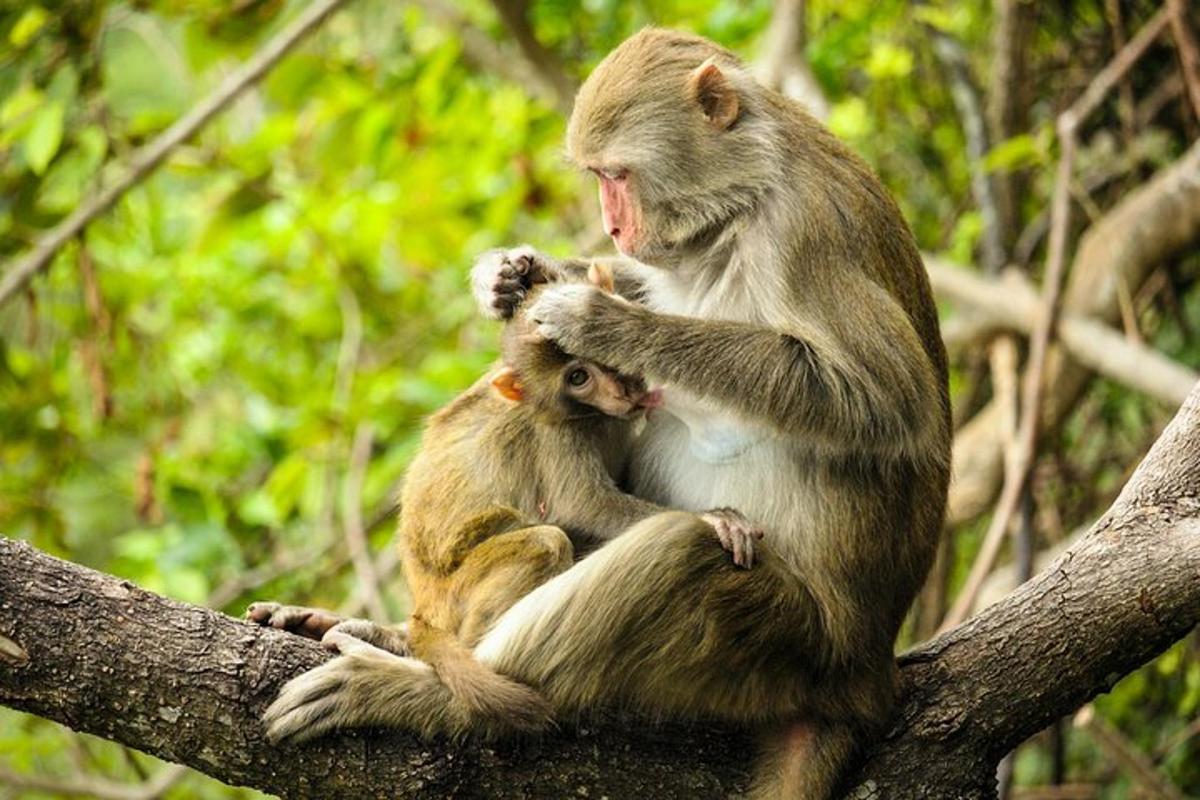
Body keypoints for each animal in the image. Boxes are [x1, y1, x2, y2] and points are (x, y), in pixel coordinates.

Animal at [267, 28, 950, 796]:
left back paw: (426, 693)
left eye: (617, 173)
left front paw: (603, 319)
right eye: (596, 176)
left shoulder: (802, 233)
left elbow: (887, 405)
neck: (744, 200)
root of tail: (863, 678)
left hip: (787, 645)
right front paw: (508, 274)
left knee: (677, 554)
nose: (612, 225)